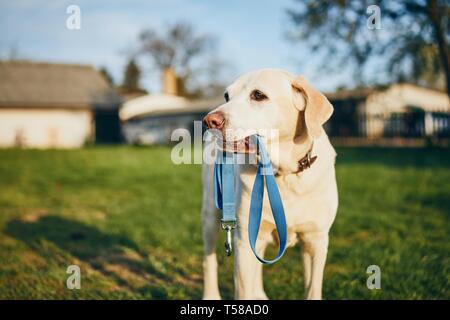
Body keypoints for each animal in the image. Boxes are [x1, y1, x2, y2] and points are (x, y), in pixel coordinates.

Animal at [201, 68, 338, 300]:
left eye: (258, 95)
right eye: (227, 96)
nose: (209, 121)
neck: (283, 174)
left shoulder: (316, 241)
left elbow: (313, 290)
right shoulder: (244, 241)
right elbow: (242, 291)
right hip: (211, 215)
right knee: (209, 260)